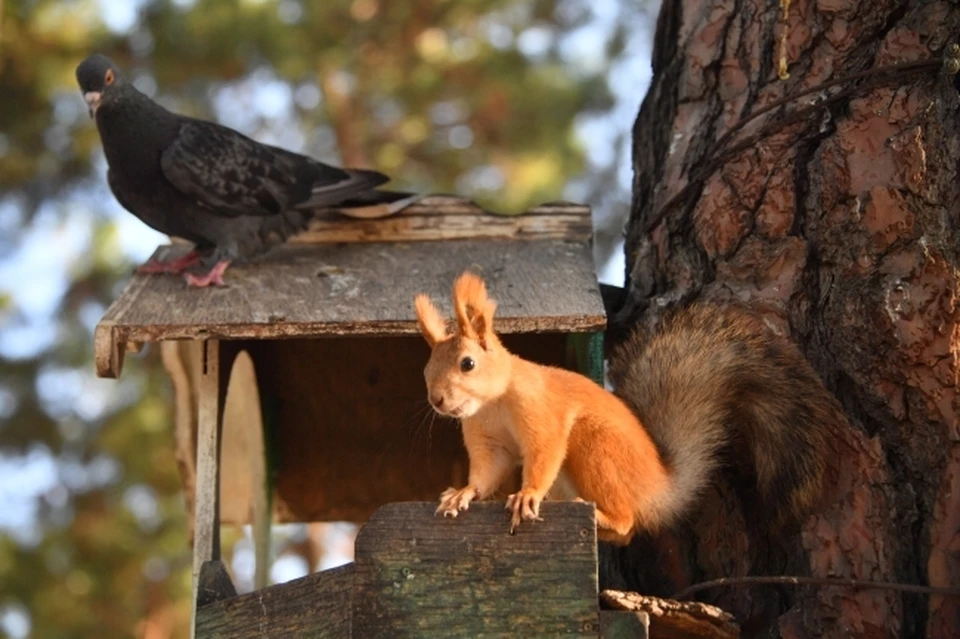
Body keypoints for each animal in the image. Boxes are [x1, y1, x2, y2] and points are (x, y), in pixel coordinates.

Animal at [414, 272, 840, 544]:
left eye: (467, 363)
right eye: (426, 370)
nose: (437, 400)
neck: (492, 404)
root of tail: (660, 486)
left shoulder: (541, 412)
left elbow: (544, 452)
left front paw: (527, 495)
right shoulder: (486, 440)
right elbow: (487, 472)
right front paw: (461, 494)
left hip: (597, 448)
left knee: (626, 522)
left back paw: (601, 516)